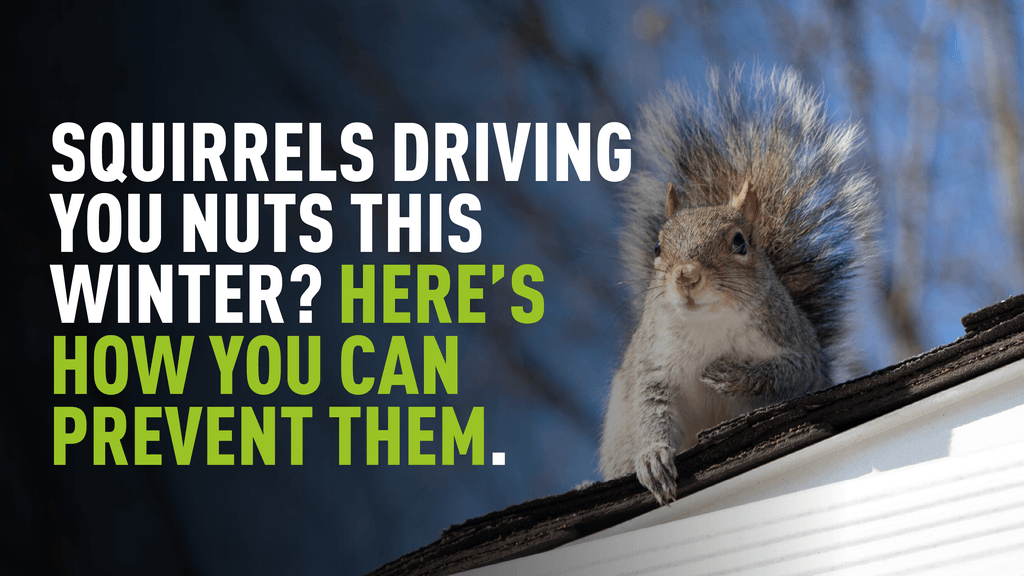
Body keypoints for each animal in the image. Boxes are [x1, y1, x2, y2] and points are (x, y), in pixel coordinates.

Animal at [599, 67, 877, 505]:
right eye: (658, 247)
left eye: (740, 243)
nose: (687, 276)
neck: (707, 324)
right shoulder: (652, 363)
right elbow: (650, 408)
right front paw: (653, 458)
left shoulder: (795, 347)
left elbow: (789, 373)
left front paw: (729, 373)